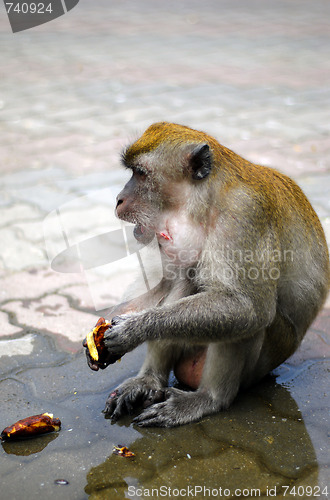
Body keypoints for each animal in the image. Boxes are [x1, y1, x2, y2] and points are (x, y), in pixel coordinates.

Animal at [84, 123, 328, 428]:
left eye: (140, 173)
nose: (119, 199)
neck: (206, 201)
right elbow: (168, 282)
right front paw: (104, 327)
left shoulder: (244, 216)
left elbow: (247, 308)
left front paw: (133, 329)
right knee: (185, 282)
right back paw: (149, 381)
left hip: (261, 363)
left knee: (244, 319)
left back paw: (208, 399)